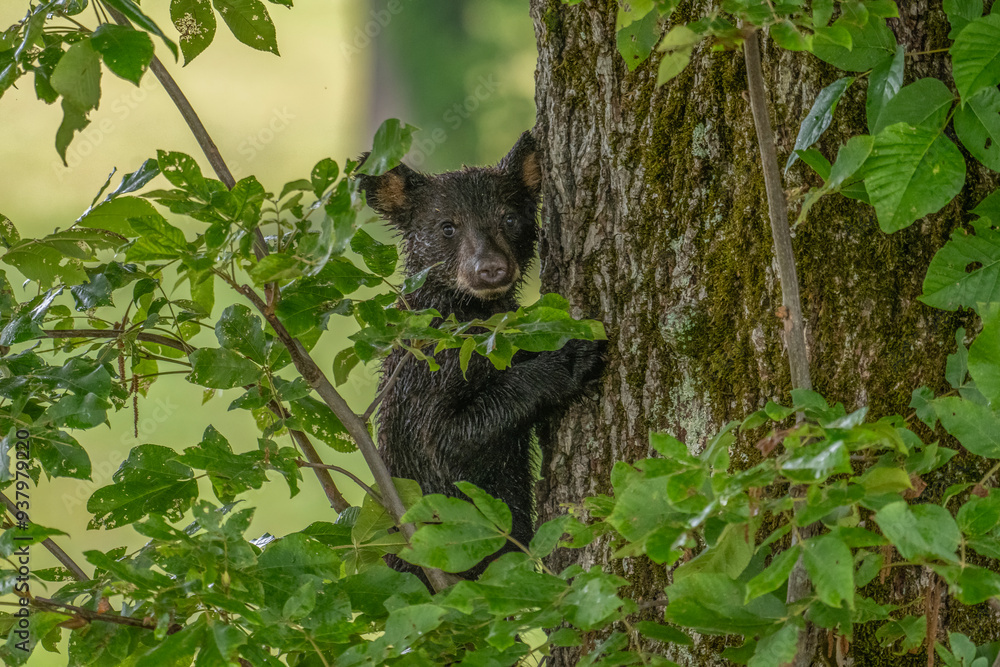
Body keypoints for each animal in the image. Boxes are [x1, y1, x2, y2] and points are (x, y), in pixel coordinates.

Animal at [357, 130, 604, 582]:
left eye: (508, 218)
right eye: (447, 226)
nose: (489, 268)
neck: (470, 311)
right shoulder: (428, 373)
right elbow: (447, 437)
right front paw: (571, 356)